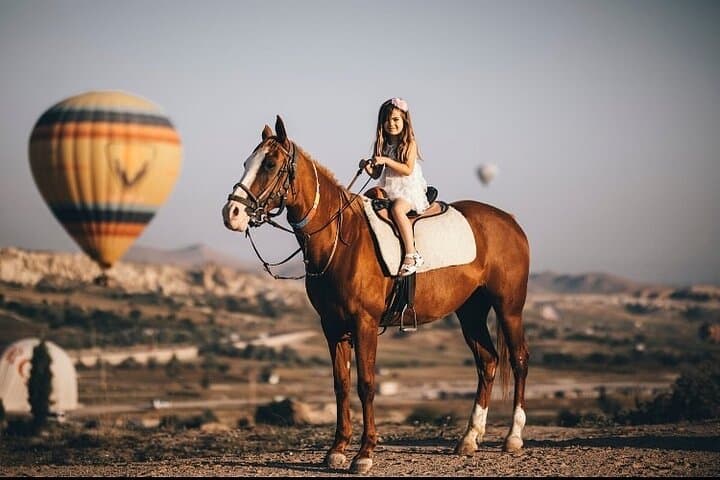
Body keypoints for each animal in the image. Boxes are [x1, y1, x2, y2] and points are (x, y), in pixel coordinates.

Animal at [221, 116, 530, 475]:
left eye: (270, 164)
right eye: (247, 163)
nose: (231, 213)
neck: (341, 238)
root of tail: (510, 221)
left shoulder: (364, 324)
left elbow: (366, 384)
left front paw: (364, 453)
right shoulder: (332, 326)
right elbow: (341, 385)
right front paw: (337, 450)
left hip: (508, 308)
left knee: (518, 360)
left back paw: (513, 437)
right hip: (471, 311)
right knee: (488, 362)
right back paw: (469, 438)